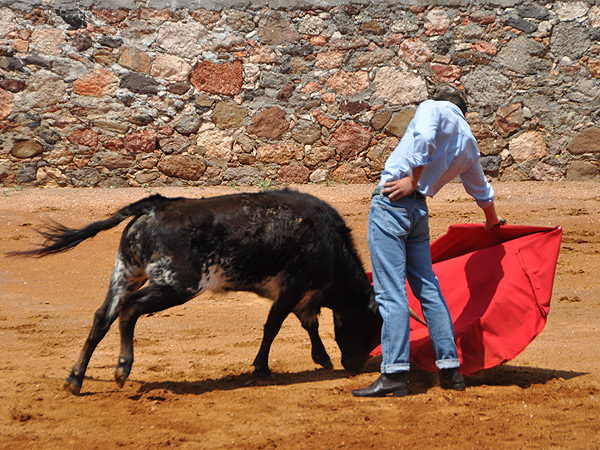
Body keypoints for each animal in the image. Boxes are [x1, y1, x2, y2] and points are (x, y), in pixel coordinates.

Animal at [10, 190, 384, 394]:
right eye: (372, 324)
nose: (353, 366)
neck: (329, 243)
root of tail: (155, 206)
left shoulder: (300, 295)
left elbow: (308, 324)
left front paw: (321, 358)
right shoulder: (292, 287)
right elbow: (275, 325)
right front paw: (262, 368)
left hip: (126, 271)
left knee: (103, 316)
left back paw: (74, 379)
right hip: (176, 284)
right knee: (129, 310)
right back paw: (122, 368)